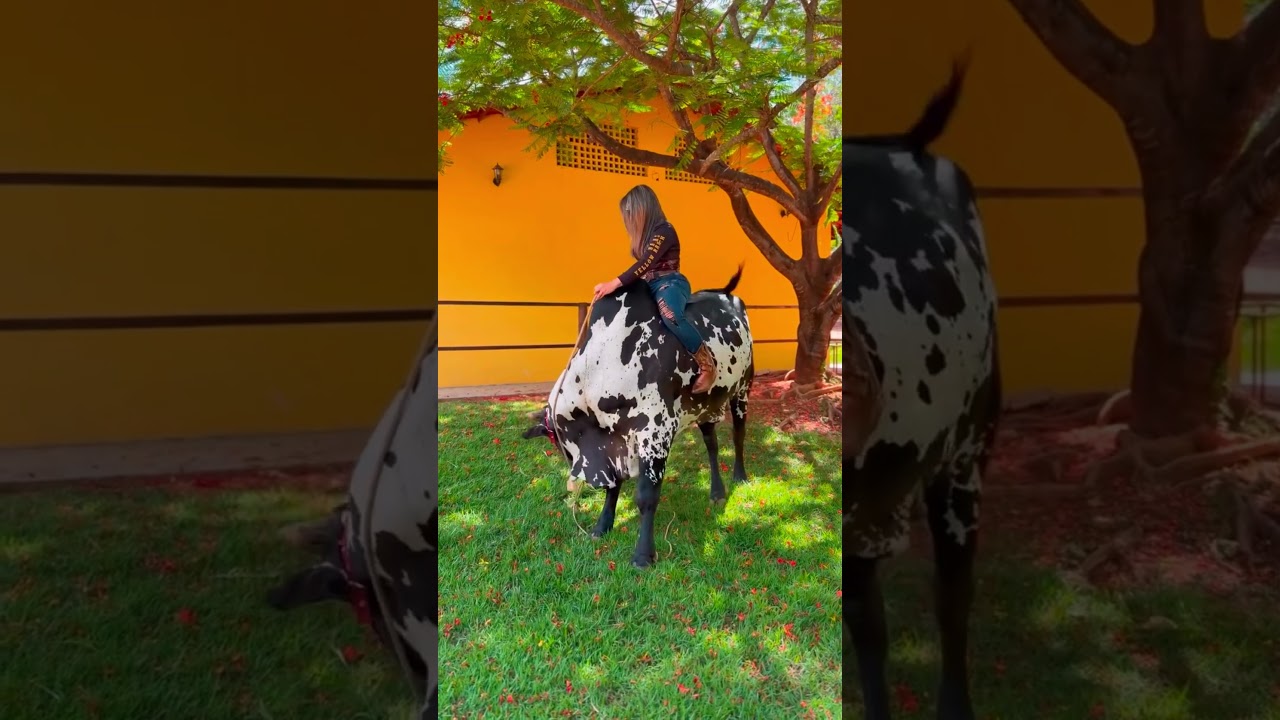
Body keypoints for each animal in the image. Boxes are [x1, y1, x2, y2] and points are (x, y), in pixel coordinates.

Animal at [522, 266, 754, 568]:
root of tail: (725, 294)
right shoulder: (615, 443)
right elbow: (613, 486)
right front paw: (602, 525)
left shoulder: (656, 432)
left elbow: (647, 496)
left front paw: (643, 554)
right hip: (704, 406)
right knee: (712, 446)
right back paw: (716, 492)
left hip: (743, 388)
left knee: (738, 434)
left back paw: (740, 476)